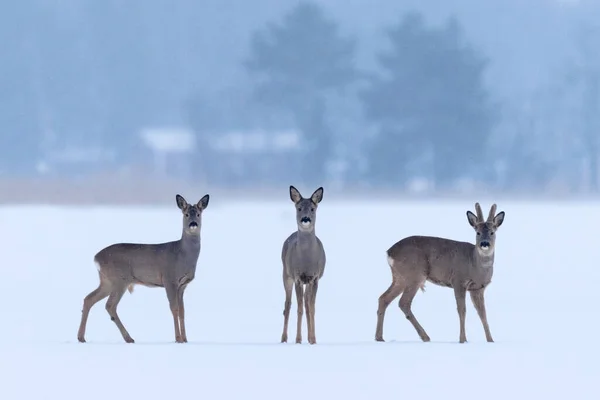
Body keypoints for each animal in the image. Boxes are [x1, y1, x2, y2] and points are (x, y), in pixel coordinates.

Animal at [76, 194, 210, 344]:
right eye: (186, 214)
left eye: (198, 214)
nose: (193, 224)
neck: (182, 255)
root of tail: (96, 257)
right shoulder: (169, 279)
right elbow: (174, 308)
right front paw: (178, 339)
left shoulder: (182, 285)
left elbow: (182, 311)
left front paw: (186, 339)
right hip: (119, 279)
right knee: (110, 305)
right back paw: (129, 338)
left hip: (107, 281)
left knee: (89, 299)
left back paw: (81, 337)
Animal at [280, 184, 326, 344]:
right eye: (299, 208)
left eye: (312, 208)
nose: (305, 219)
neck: (307, 260)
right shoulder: (298, 278)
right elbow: (299, 308)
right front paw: (298, 339)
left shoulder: (315, 278)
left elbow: (311, 308)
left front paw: (313, 339)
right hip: (286, 274)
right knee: (288, 305)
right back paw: (284, 338)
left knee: (306, 303)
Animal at [378, 203, 504, 344]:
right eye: (478, 232)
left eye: (492, 232)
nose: (484, 243)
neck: (475, 264)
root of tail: (389, 253)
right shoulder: (458, 281)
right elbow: (462, 310)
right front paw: (463, 340)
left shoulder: (478, 288)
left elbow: (483, 313)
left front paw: (490, 340)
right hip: (415, 274)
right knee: (403, 302)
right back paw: (425, 337)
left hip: (399, 277)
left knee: (383, 298)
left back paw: (379, 337)